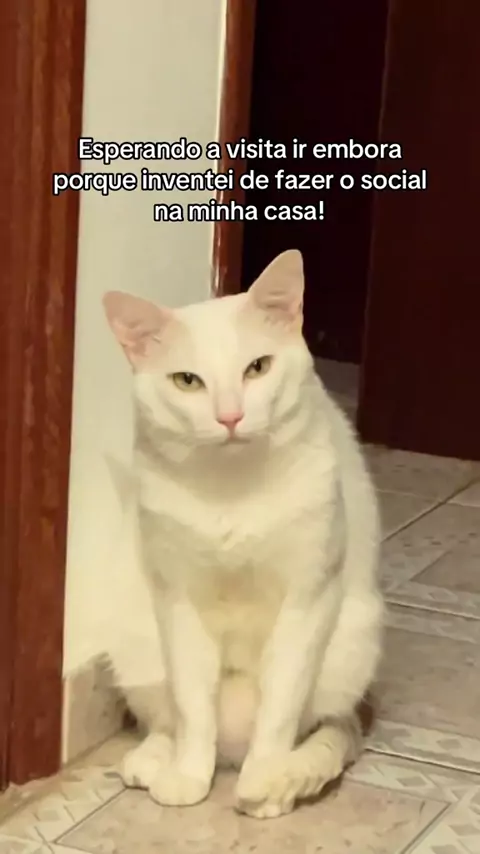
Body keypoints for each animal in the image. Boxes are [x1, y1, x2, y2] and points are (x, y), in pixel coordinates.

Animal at [102, 249, 383, 820]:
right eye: (187, 381)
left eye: (258, 367)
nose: (230, 416)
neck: (232, 490)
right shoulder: (179, 603)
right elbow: (191, 706)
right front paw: (188, 775)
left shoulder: (306, 600)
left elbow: (279, 708)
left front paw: (267, 777)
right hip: (136, 638)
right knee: (167, 718)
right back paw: (153, 761)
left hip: (352, 643)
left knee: (324, 728)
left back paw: (283, 781)